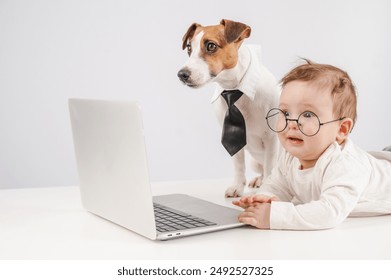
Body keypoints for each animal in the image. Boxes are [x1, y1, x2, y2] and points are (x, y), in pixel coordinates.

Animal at [178, 19, 282, 197]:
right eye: (189, 48)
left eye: (211, 46)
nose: (182, 75)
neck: (234, 88)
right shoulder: (233, 137)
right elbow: (238, 164)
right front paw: (237, 186)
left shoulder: (271, 139)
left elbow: (270, 167)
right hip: (254, 162)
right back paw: (258, 180)